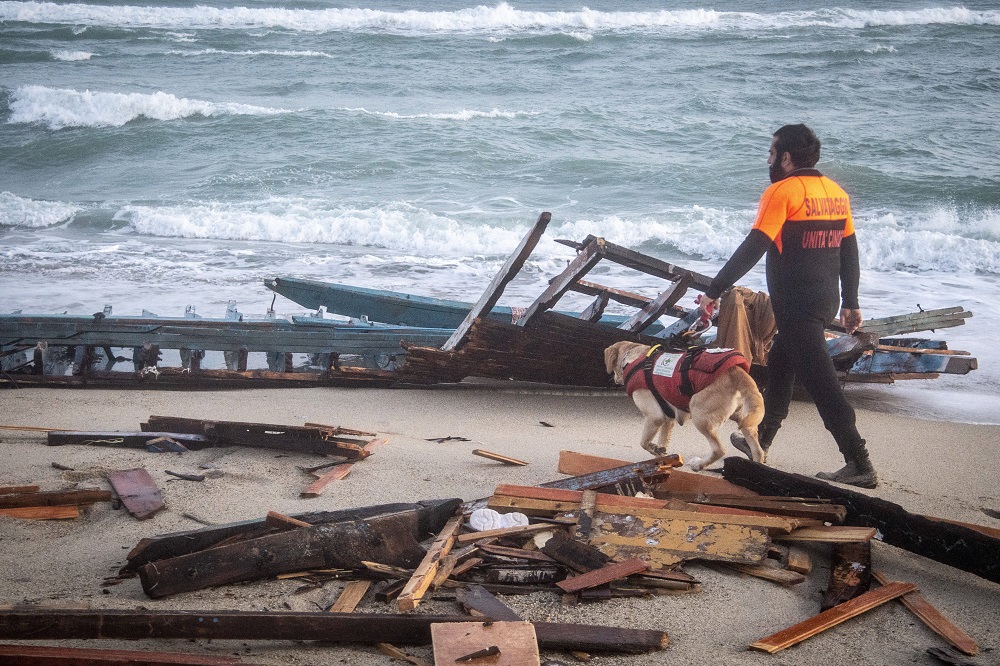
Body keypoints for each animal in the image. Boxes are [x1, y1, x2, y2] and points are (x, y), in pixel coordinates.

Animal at [600, 340, 764, 470]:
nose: (615, 380)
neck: (634, 358)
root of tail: (737, 371)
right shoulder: (668, 418)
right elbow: (662, 442)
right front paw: (660, 457)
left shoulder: (655, 417)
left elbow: (644, 442)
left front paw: (654, 449)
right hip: (745, 421)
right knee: (758, 451)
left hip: (700, 416)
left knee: (719, 450)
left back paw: (699, 465)